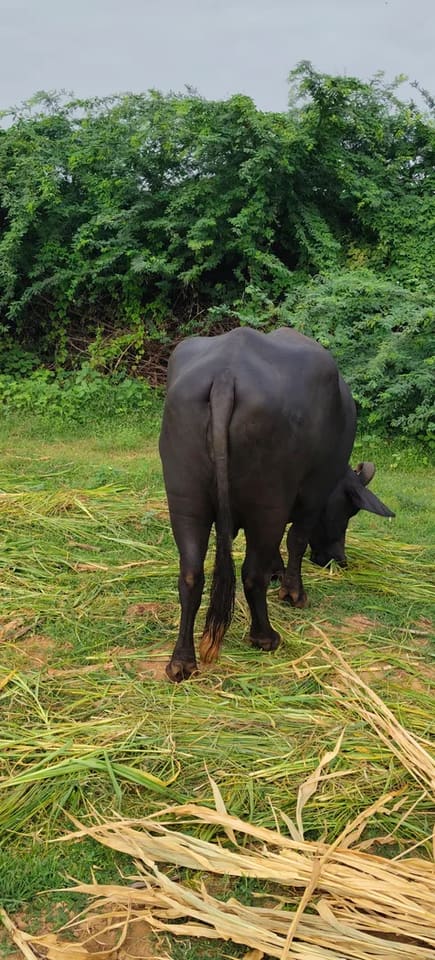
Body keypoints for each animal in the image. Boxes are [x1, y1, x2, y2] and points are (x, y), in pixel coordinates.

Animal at [159, 327, 394, 682]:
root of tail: (226, 374)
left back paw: (182, 662)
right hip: (268, 501)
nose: (337, 558)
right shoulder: (314, 496)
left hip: (185, 500)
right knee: (251, 573)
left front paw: (277, 571)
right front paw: (292, 591)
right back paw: (265, 636)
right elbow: (296, 540)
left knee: (191, 575)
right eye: (348, 510)